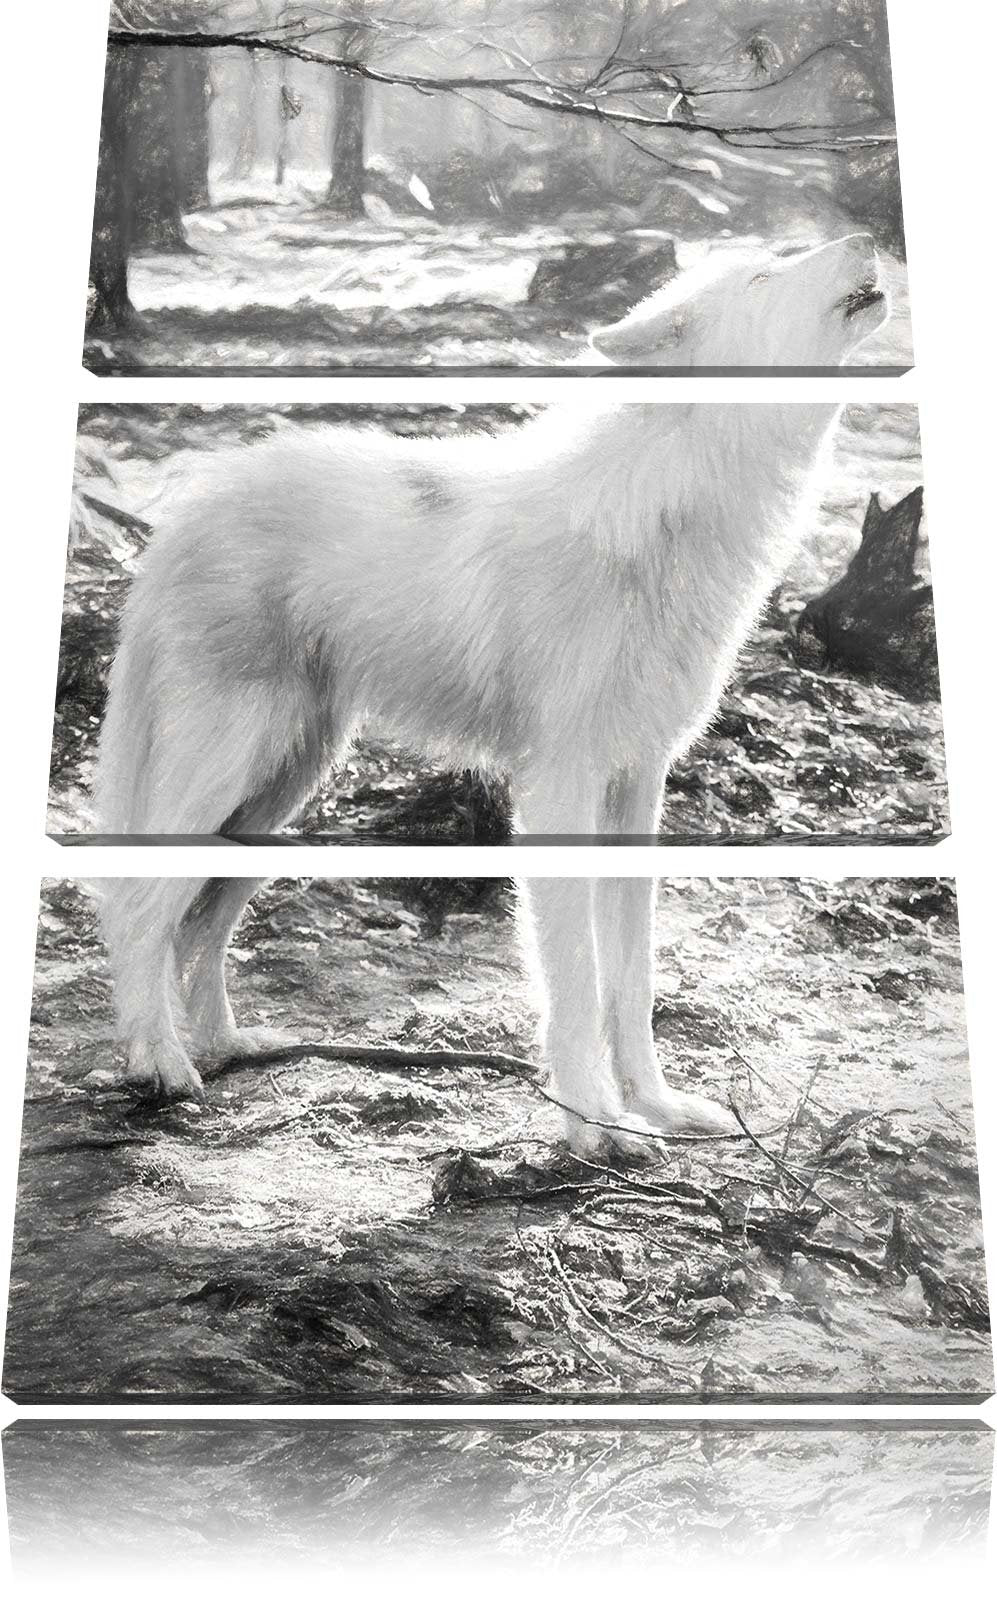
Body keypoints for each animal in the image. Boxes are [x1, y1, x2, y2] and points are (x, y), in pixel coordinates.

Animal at [95, 234, 888, 1148]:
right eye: (766, 274)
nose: (867, 239)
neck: (669, 505)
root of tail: (184, 510)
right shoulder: (559, 790)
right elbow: (575, 979)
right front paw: (594, 1125)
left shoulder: (636, 786)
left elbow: (632, 977)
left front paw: (653, 1107)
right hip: (230, 772)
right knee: (139, 908)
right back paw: (159, 1064)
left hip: (280, 791)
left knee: (202, 921)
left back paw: (225, 1044)